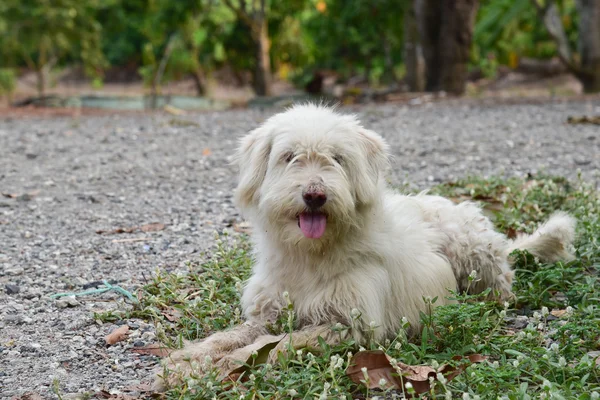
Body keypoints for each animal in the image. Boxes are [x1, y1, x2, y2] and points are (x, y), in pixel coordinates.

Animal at [155, 104, 576, 390]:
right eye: (289, 157)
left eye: (337, 159)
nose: (315, 195)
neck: (311, 254)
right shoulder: (269, 312)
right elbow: (231, 336)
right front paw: (187, 361)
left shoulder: (350, 324)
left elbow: (275, 345)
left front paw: (220, 368)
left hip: (474, 255)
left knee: (501, 288)